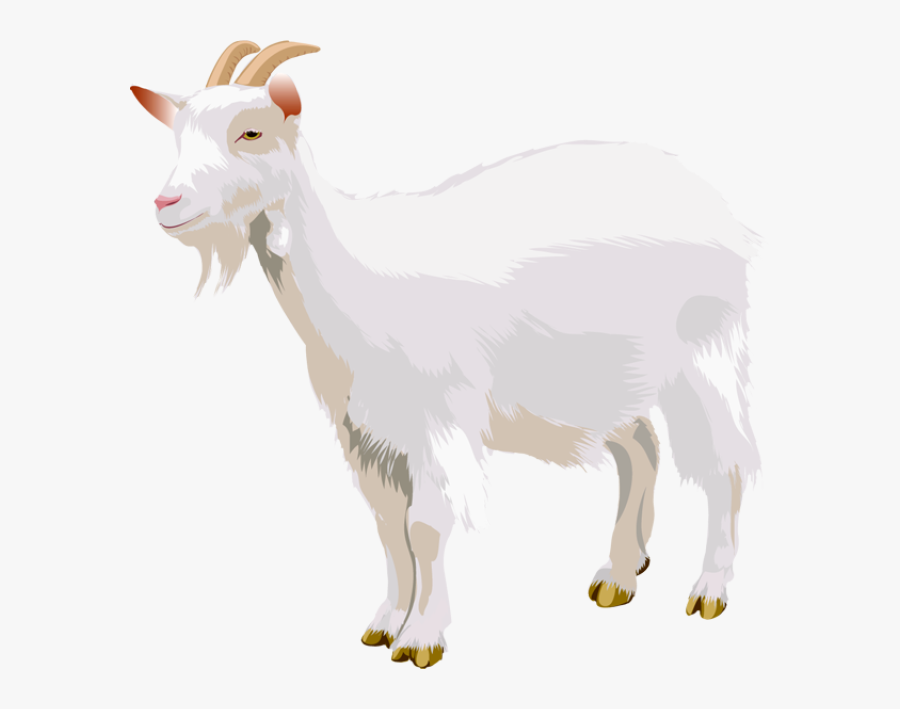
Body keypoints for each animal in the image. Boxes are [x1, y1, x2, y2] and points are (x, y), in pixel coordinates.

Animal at [131, 40, 761, 669]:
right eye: (178, 134)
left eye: (252, 132)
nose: (166, 202)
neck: (354, 276)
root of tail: (709, 195)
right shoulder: (364, 432)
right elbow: (389, 527)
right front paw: (385, 623)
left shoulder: (436, 419)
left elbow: (426, 527)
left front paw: (421, 639)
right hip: (603, 376)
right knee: (641, 448)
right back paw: (621, 574)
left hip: (706, 351)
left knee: (726, 459)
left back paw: (709, 589)